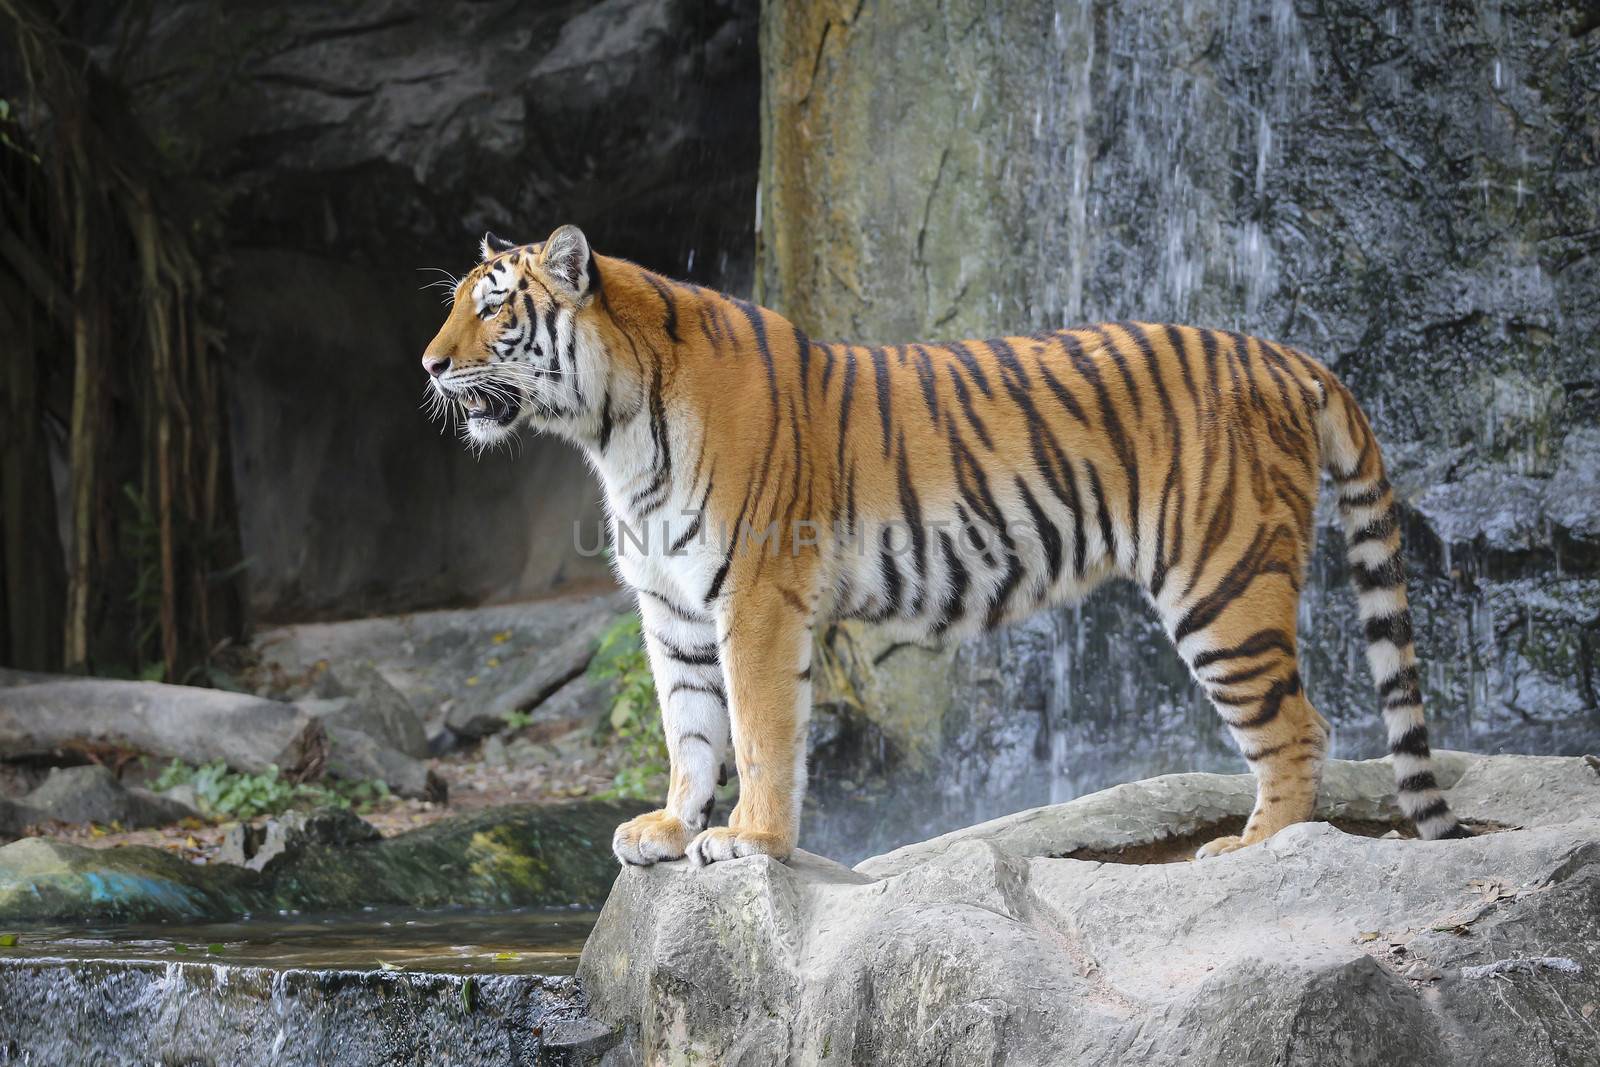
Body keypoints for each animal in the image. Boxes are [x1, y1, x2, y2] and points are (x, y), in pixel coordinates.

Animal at [419, 225, 1465, 870]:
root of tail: (1286, 353)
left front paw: (750, 840)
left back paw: (1250, 850)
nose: (426, 364)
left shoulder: (755, 595)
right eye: (458, 301)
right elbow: (690, 727)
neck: (612, 428)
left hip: (1223, 581)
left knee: (1300, 727)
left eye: (495, 306)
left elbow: (757, 728)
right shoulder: (672, 604)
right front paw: (673, 828)